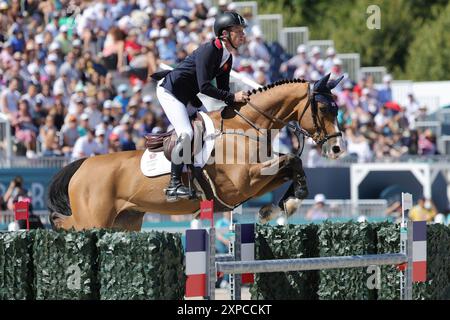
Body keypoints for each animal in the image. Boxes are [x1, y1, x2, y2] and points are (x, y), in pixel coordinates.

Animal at [48, 73, 344, 231]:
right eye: (324, 108)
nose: (337, 148)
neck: (244, 126)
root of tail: (81, 165)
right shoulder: (242, 182)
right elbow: (292, 159)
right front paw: (291, 201)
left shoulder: (254, 182)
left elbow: (290, 166)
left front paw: (277, 207)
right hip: (93, 220)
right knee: (67, 225)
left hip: (125, 222)